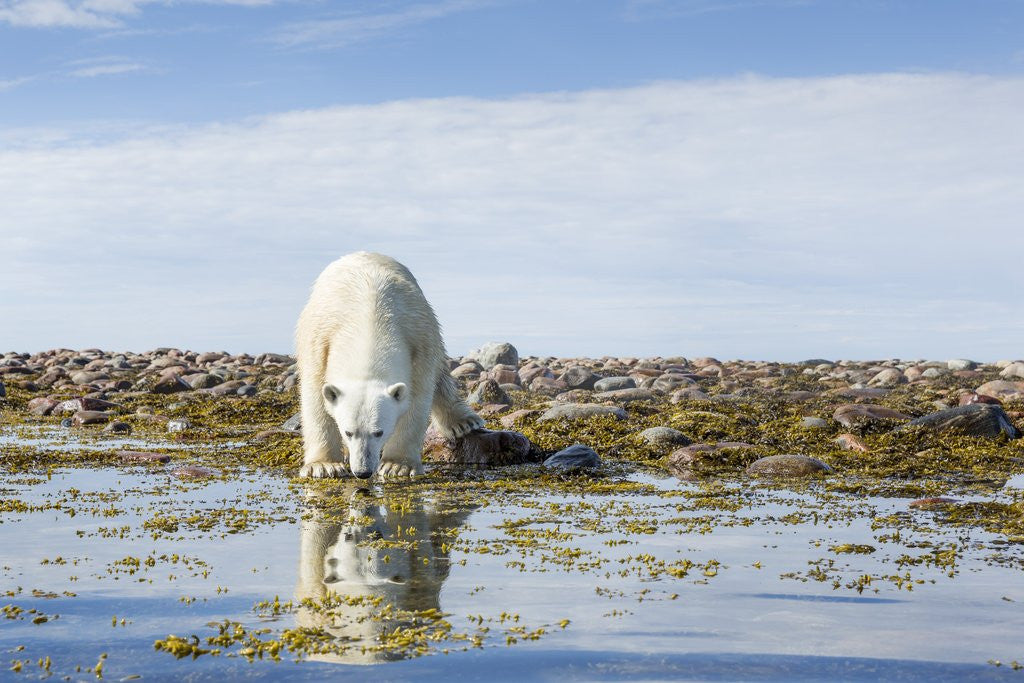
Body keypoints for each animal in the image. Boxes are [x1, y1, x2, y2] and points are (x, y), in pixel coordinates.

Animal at [295, 252, 484, 479]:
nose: (363, 471)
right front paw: (323, 465)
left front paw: (398, 465)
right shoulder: (319, 341)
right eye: (348, 432)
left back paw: (463, 422)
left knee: (440, 374)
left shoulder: (419, 339)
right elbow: (315, 400)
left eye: (379, 432)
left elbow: (417, 400)